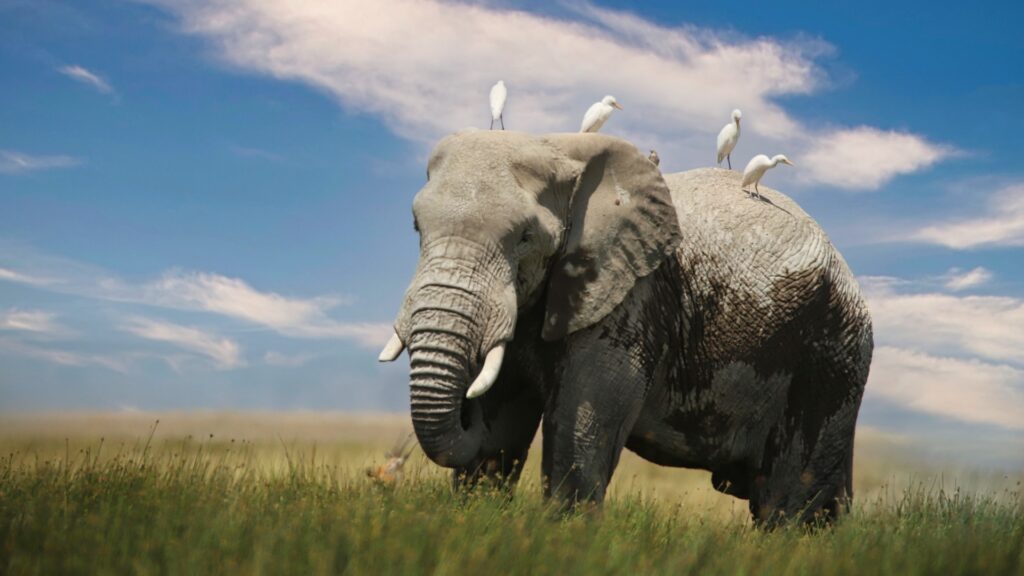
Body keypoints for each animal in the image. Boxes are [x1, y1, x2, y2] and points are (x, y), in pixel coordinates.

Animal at [378, 130, 874, 525]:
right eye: (417, 227)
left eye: (524, 238)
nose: (465, 412)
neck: (557, 147)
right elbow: (500, 427)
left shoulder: (631, 298)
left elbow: (581, 427)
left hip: (830, 357)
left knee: (788, 504)